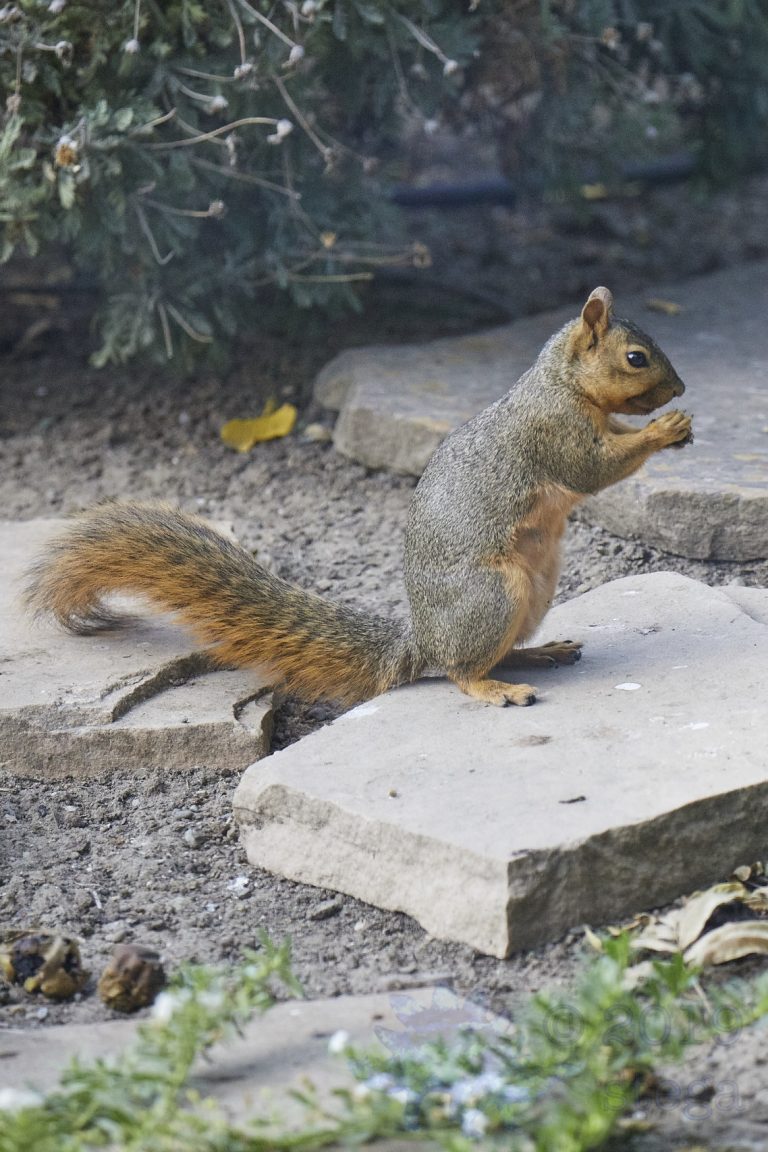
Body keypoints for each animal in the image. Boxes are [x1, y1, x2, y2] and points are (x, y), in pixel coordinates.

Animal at [23, 287, 692, 708]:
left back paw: (540, 653)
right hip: (493, 595)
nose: (681, 388)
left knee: (481, 658)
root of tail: (419, 639)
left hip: (532, 593)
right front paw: (664, 430)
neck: (561, 383)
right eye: (636, 358)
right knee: (460, 670)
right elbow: (593, 469)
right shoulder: (554, 433)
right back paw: (497, 689)